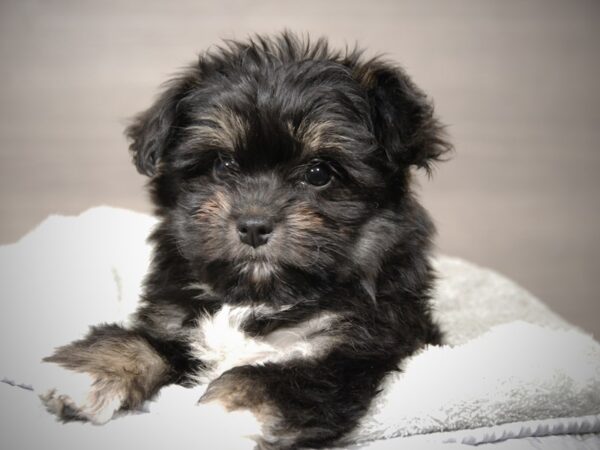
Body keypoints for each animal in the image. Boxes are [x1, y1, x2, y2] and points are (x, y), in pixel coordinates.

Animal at [41, 32, 450, 450]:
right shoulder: (174, 323)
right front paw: (87, 372)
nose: (253, 225)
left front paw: (205, 426)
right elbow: (138, 341)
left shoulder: (345, 354)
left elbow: (253, 382)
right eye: (222, 165)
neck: (255, 295)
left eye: (319, 173)